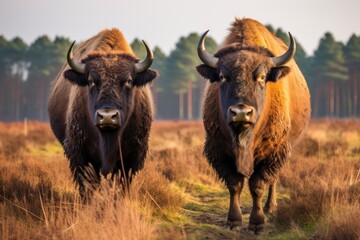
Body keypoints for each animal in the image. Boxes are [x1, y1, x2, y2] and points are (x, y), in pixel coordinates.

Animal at [47, 28, 158, 199]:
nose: (107, 116)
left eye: (128, 81)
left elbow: (121, 185)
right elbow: (88, 185)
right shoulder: (81, 154)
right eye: (91, 81)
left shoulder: (131, 157)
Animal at [195, 17, 310, 232]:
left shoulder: (274, 152)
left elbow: (258, 184)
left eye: (262, 77)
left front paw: (257, 223)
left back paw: (270, 207)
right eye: (222, 76)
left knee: (273, 180)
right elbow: (235, 183)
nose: (241, 112)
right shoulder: (218, 150)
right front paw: (233, 221)